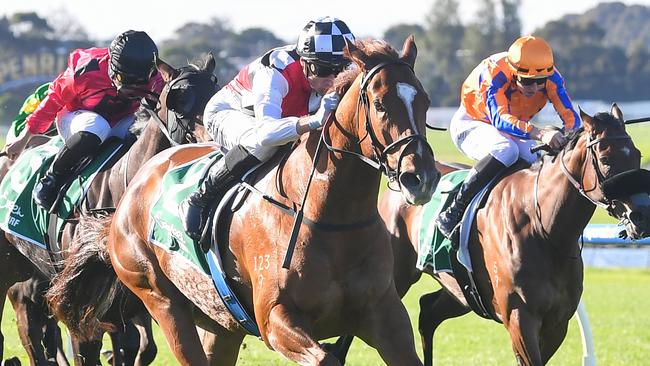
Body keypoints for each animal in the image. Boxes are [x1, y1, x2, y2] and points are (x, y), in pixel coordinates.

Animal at [0, 54, 218, 366]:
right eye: (179, 99)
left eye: (214, 91)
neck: (121, 185)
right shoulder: (82, 307)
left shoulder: (134, 301)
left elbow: (139, 347)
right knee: (31, 336)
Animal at [48, 35, 438, 364]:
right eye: (380, 104)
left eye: (425, 100)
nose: (420, 177)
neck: (331, 218)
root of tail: (131, 192)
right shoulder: (276, 319)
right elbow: (325, 356)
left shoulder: (385, 315)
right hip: (161, 300)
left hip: (220, 321)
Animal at [378, 104, 648, 364]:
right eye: (606, 159)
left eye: (637, 155)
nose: (642, 215)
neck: (545, 231)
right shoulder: (520, 318)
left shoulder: (557, 323)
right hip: (396, 278)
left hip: (462, 291)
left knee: (428, 311)